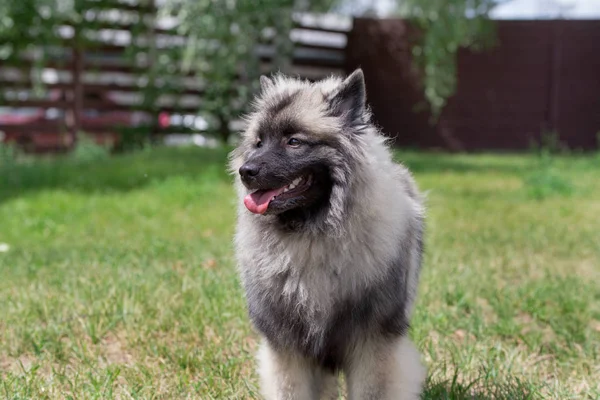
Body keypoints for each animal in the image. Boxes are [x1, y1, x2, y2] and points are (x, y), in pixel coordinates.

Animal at [230, 69, 426, 400]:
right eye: (258, 142)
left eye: (294, 141)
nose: (246, 171)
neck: (312, 234)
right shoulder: (289, 347)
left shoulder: (373, 342)